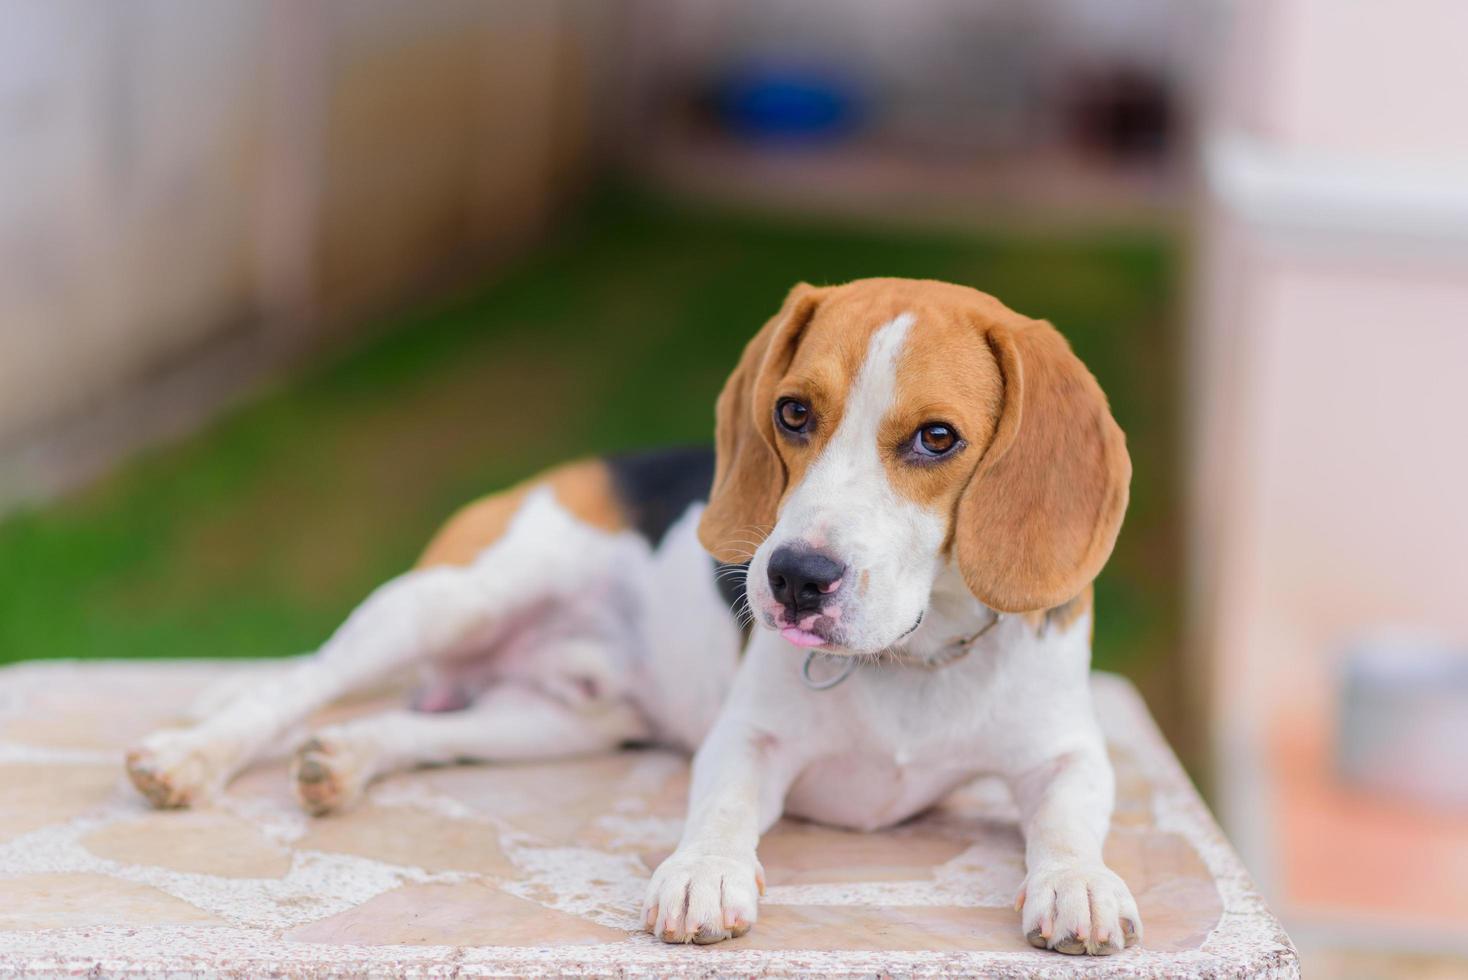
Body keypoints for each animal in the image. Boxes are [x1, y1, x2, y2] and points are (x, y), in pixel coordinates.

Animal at [123, 275, 1133, 956]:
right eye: (792, 413)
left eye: (937, 438)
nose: (793, 578)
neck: (914, 655)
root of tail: (570, 468)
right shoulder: (748, 737)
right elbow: (723, 803)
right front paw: (704, 871)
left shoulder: (1067, 752)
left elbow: (1068, 819)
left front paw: (1077, 882)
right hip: (450, 601)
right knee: (300, 684)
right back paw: (192, 755)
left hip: (559, 720)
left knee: (416, 728)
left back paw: (347, 758)